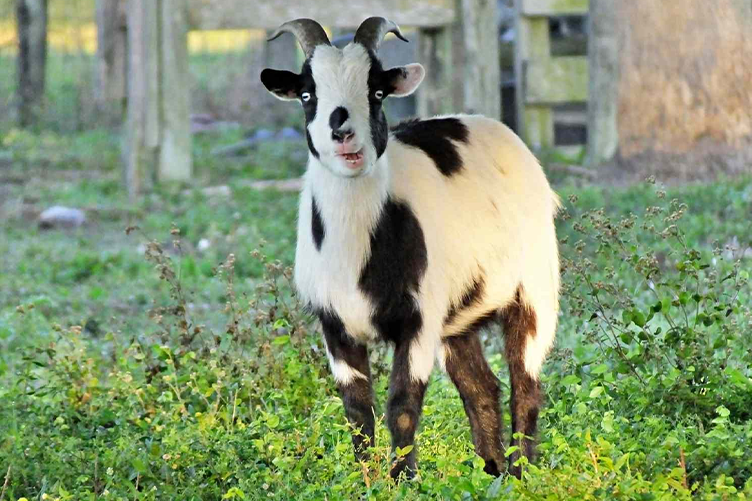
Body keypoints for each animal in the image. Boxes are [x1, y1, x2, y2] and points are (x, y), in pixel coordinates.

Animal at [260, 17, 560, 480]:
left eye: (377, 93)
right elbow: (357, 409)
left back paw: (519, 473)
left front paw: (403, 479)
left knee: (525, 383)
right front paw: (364, 479)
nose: (343, 134)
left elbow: (401, 404)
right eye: (308, 95)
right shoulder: (334, 323)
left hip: (534, 287)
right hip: (458, 319)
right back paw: (490, 472)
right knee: (481, 387)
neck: (354, 255)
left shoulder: (418, 318)